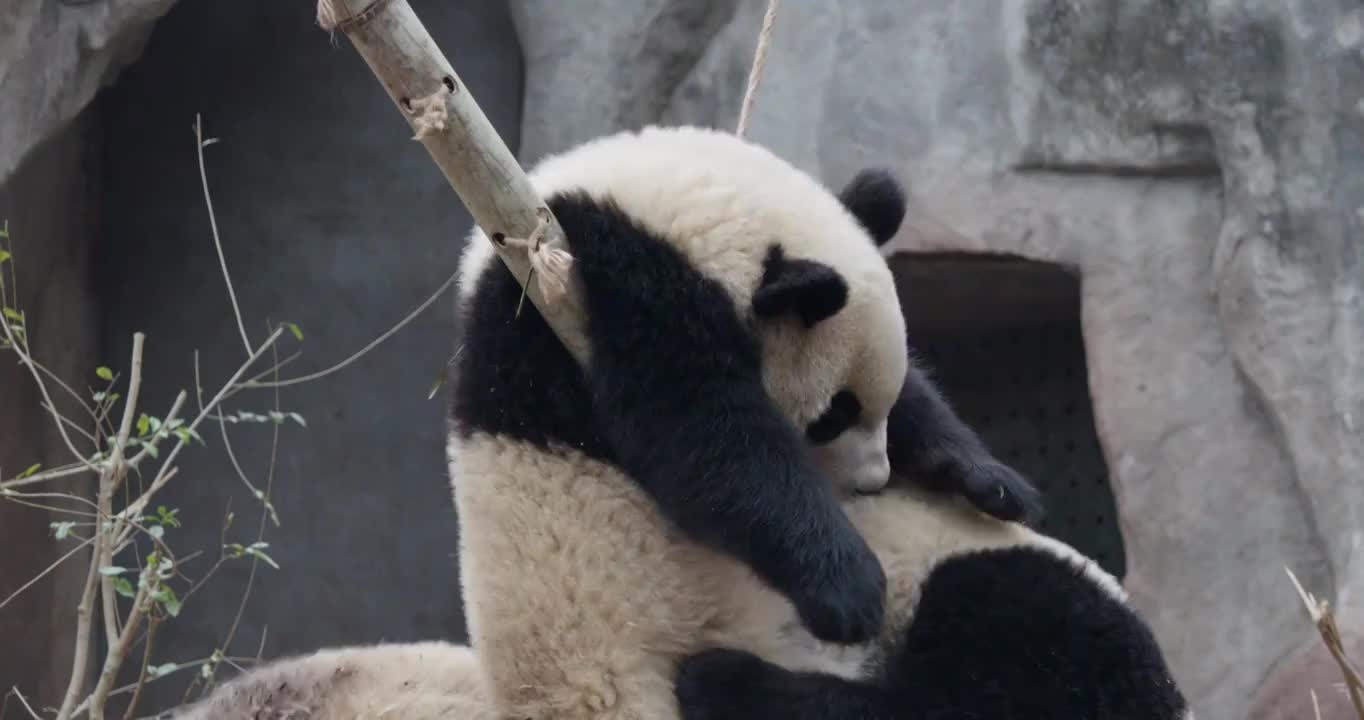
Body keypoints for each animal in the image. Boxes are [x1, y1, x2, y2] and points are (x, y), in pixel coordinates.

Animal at [444, 126, 1031, 714]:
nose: (874, 481)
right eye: (833, 414)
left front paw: (991, 481)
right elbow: (708, 439)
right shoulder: (588, 296)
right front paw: (851, 588)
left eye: (866, 407)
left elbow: (915, 399)